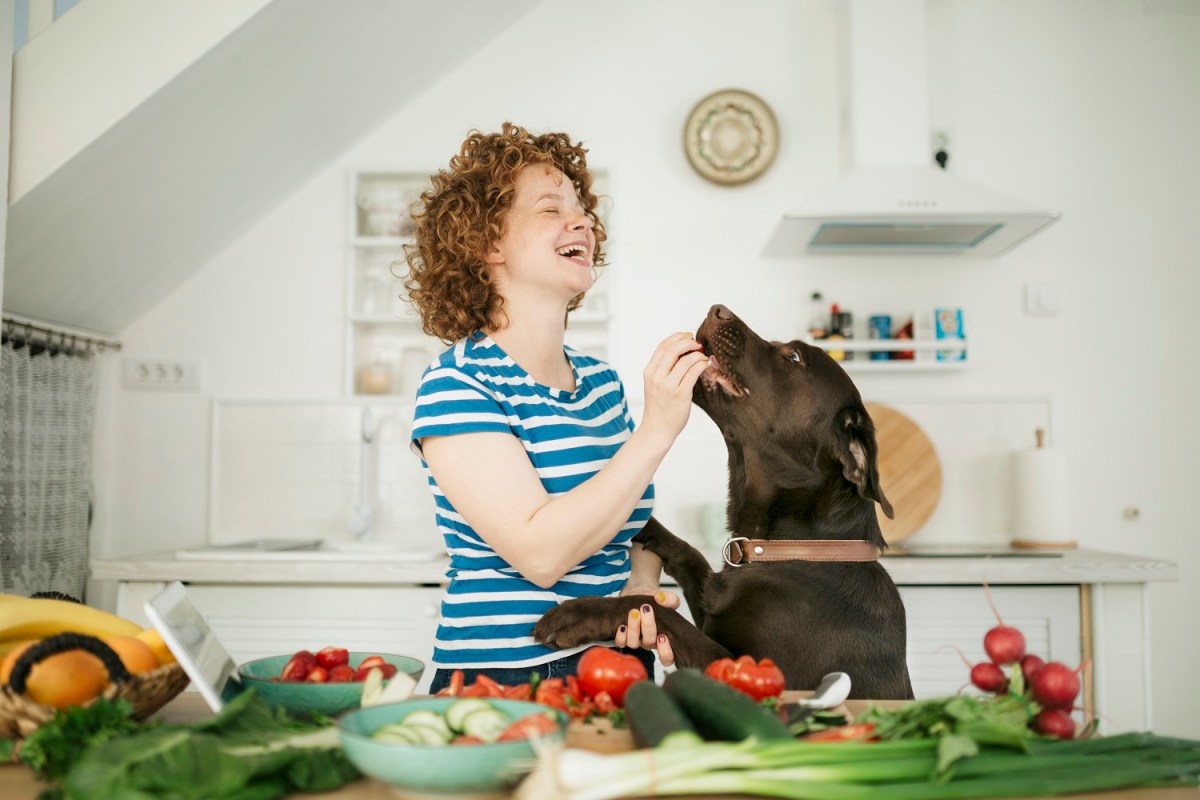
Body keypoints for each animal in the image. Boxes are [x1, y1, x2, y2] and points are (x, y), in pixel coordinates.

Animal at [532, 303, 907, 695]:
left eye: (793, 356)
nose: (718, 309)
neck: (797, 548)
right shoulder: (711, 604)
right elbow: (690, 553)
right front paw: (640, 522)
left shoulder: (744, 672)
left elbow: (659, 610)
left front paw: (575, 615)